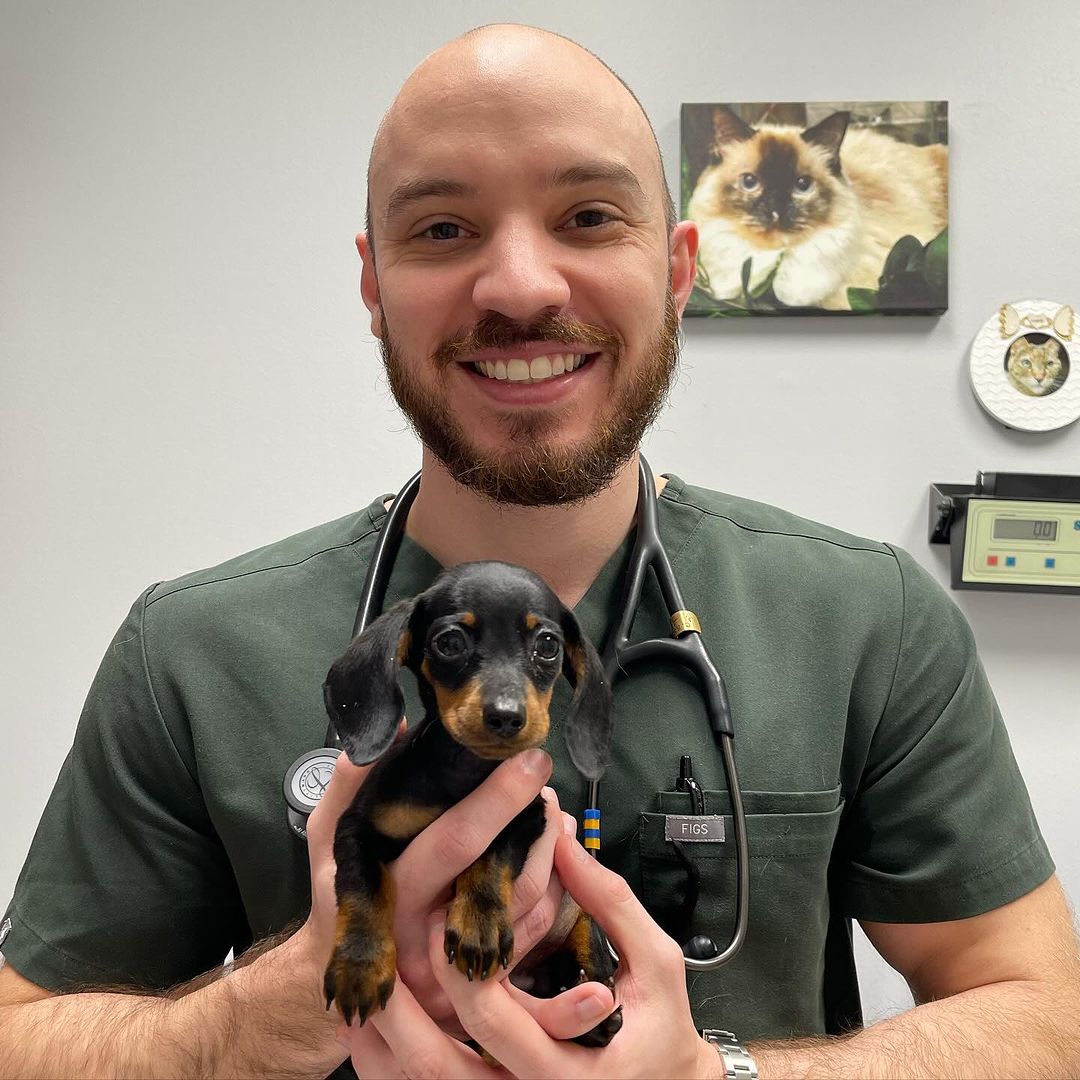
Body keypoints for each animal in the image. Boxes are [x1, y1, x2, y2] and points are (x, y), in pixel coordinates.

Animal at [319, 561, 622, 1049]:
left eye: (548, 645)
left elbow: (490, 858)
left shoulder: (527, 819)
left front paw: (479, 924)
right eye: (449, 643)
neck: (462, 772)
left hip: (579, 915)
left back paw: (595, 1006)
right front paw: (359, 965)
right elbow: (363, 888)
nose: (506, 716)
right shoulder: (355, 828)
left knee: (591, 953)